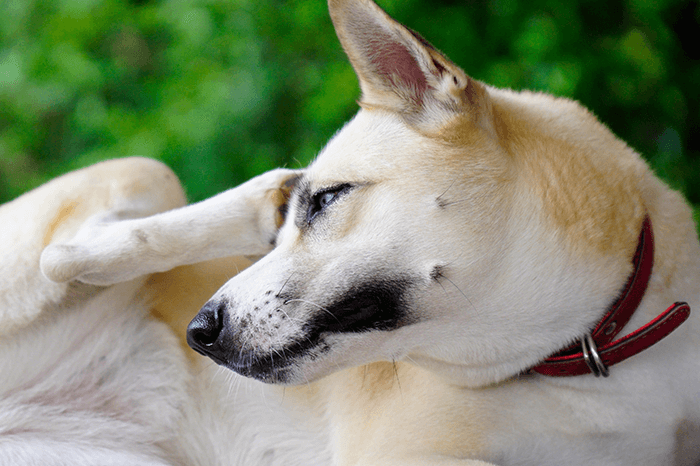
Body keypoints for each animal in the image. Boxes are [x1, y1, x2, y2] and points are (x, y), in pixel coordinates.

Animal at [5, 0, 700, 464]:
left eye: (331, 199)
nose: (199, 332)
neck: (592, 352)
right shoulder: (402, 454)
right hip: (143, 173)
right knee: (61, 255)